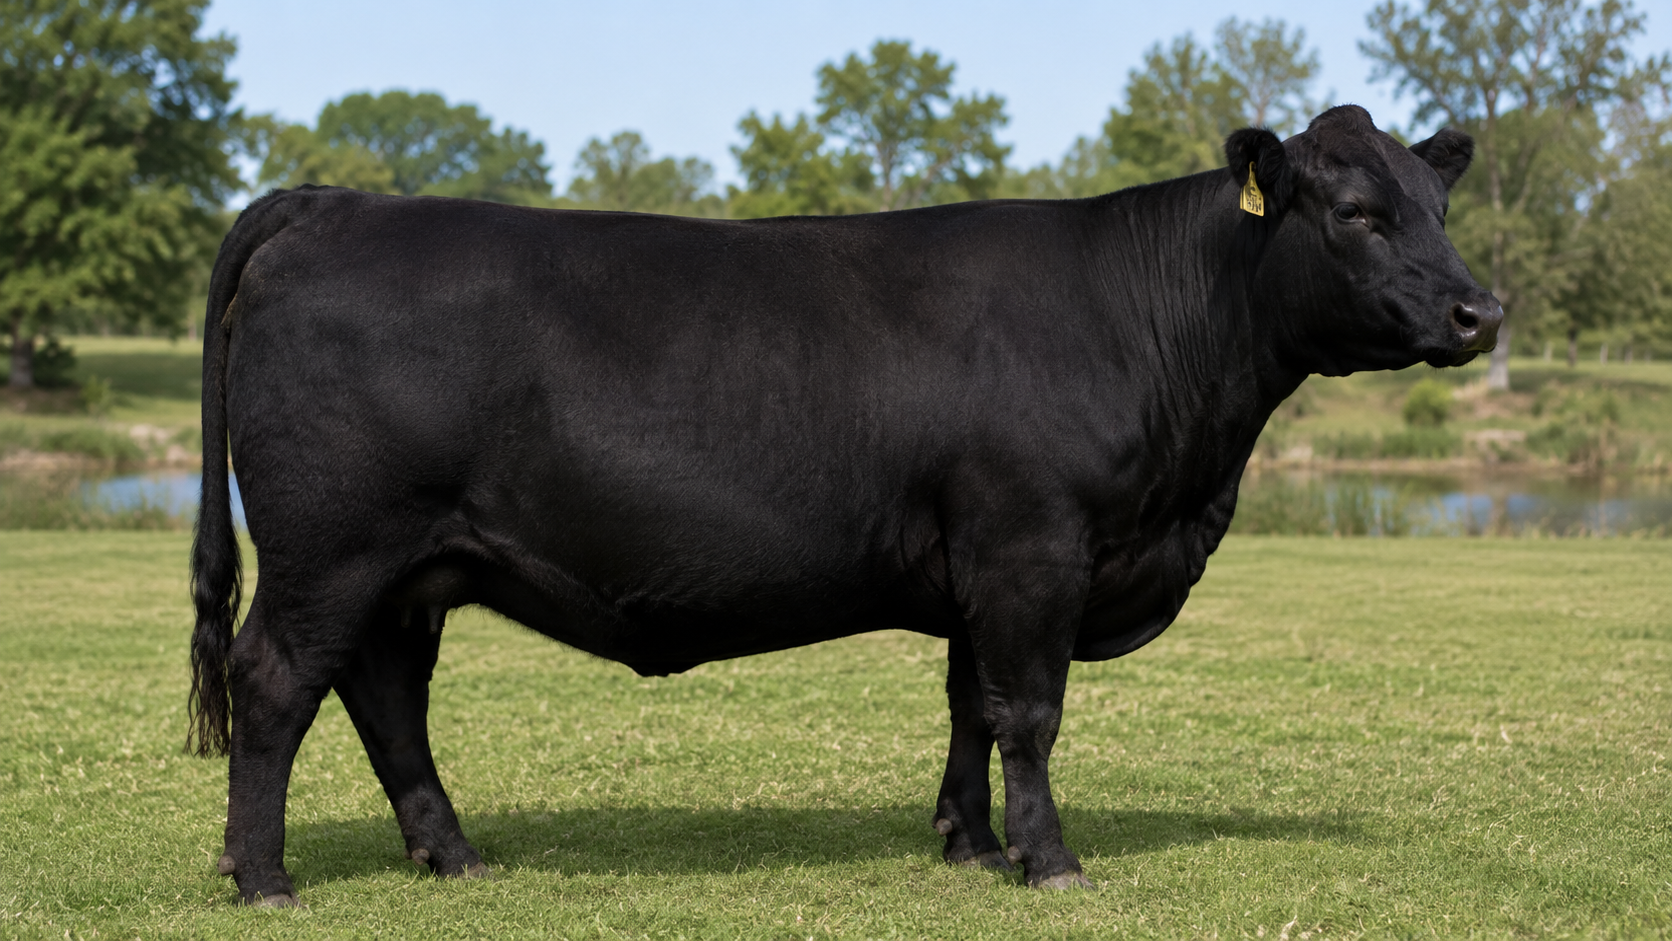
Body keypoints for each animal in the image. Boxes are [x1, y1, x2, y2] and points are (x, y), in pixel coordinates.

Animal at [187, 105, 1499, 906]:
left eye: (1437, 208)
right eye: (1354, 211)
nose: (1480, 311)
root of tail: (335, 201)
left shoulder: (981, 561)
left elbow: (970, 704)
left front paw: (969, 841)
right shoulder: (1033, 545)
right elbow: (1029, 711)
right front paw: (1048, 858)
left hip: (409, 567)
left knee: (384, 696)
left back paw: (451, 854)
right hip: (331, 549)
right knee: (276, 683)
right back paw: (264, 875)